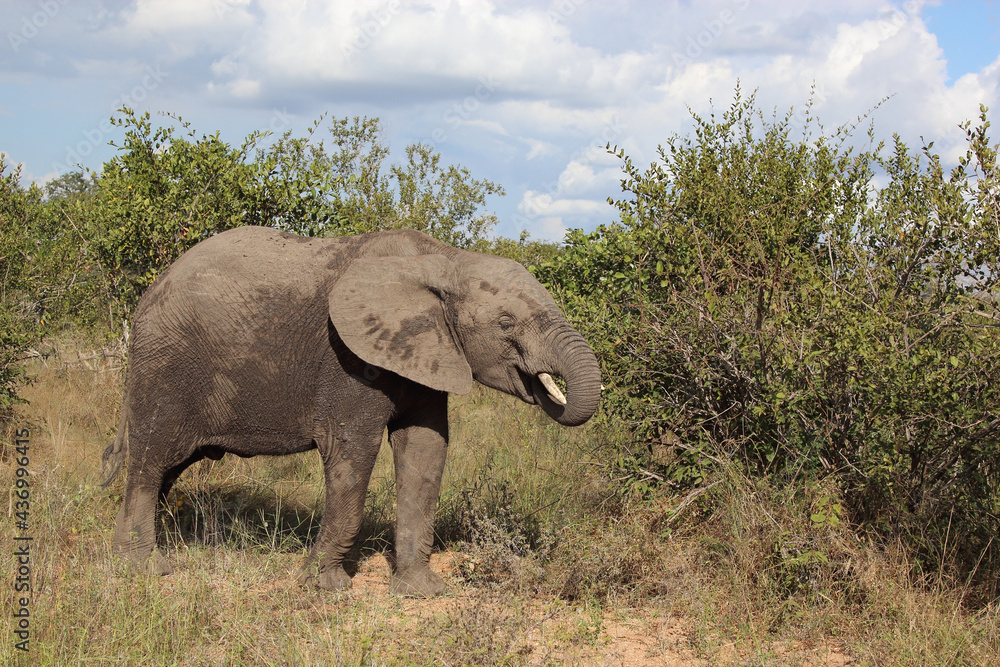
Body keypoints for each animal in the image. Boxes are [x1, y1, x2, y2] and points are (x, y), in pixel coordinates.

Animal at [101, 225, 601, 596]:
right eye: (505, 323)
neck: (444, 259)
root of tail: (151, 290)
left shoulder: (423, 350)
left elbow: (426, 449)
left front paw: (421, 591)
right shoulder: (349, 360)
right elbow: (352, 452)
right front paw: (328, 588)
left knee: (166, 469)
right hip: (164, 366)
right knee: (151, 460)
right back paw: (145, 569)